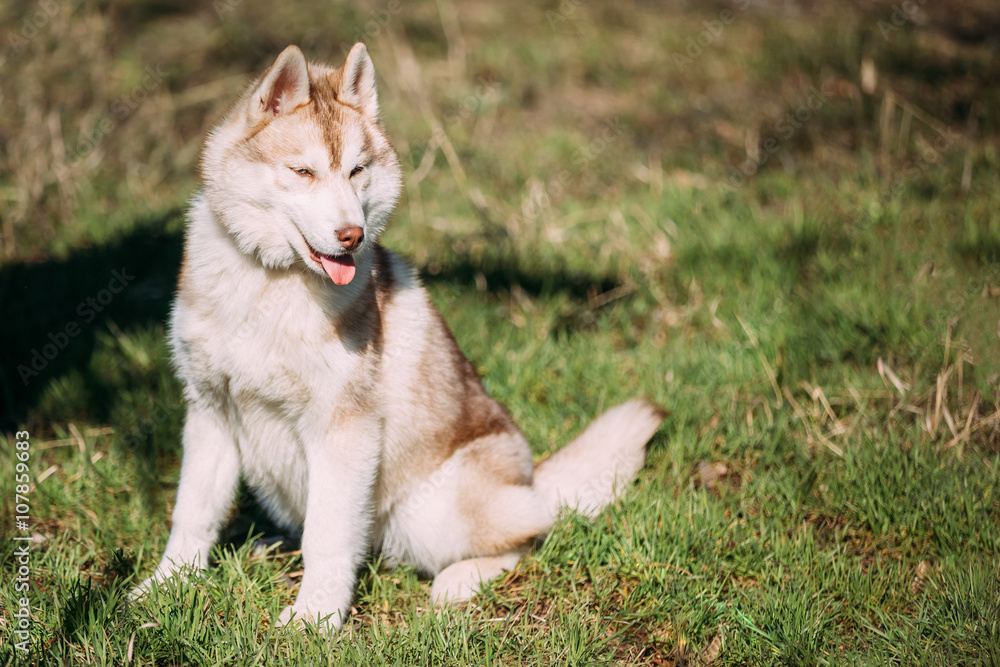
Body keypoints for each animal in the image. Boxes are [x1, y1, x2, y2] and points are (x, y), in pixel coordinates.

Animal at [133, 43, 664, 632]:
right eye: (302, 171)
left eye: (356, 170)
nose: (352, 235)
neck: (270, 284)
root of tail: (531, 480)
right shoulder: (210, 411)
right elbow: (192, 514)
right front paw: (164, 588)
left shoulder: (343, 430)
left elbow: (327, 537)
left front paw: (314, 618)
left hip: (432, 512)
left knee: (527, 535)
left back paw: (458, 581)